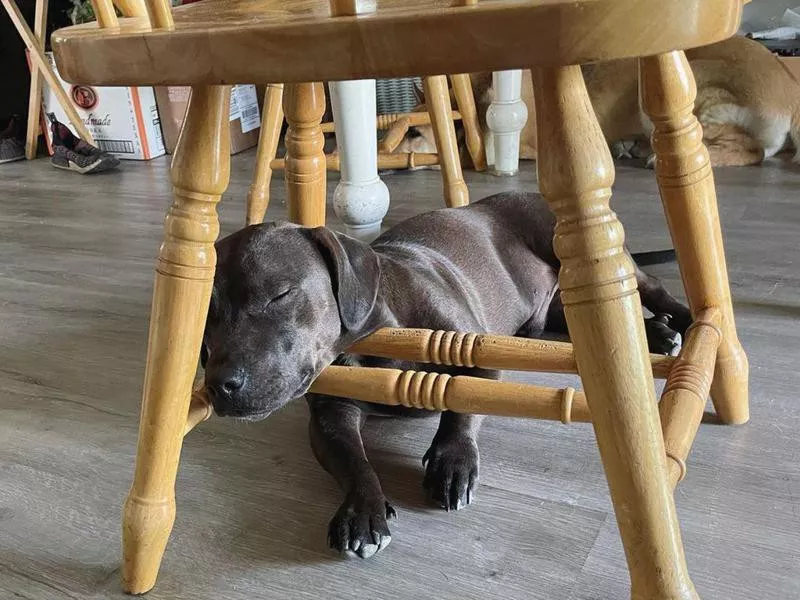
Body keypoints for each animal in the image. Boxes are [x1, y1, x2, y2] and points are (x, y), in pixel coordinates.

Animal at [203, 193, 692, 564]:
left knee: (648, 288)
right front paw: (362, 510)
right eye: (207, 314)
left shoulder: (475, 352)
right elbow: (352, 460)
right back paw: (657, 332)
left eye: (280, 294)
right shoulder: (329, 414)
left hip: (575, 249)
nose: (220, 383)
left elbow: (461, 405)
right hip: (547, 312)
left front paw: (451, 460)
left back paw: (684, 322)